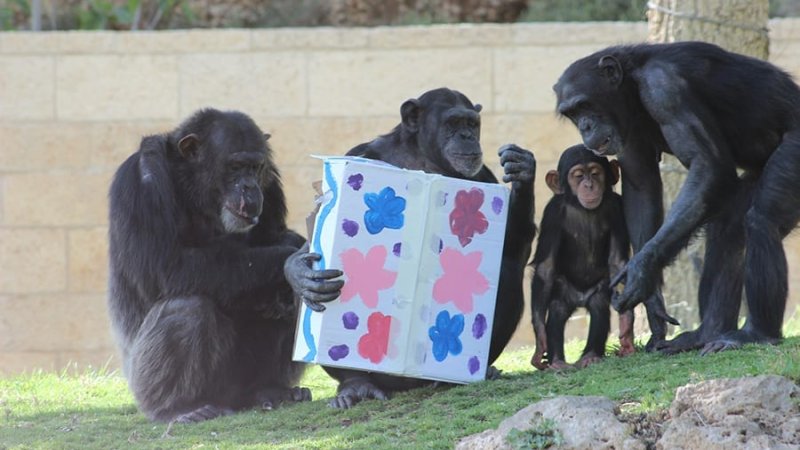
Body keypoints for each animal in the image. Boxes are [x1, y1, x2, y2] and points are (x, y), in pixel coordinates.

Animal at [108, 108, 312, 422]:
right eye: (235, 166)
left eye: (255, 167)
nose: (249, 186)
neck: (194, 191)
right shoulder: (141, 183)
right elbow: (166, 268)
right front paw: (292, 263)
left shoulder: (271, 183)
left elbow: (274, 234)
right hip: (143, 381)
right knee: (188, 310)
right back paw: (181, 408)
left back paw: (270, 389)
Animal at [284, 87, 536, 408]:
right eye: (453, 123)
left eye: (472, 123)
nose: (468, 136)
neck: (422, 156)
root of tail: (409, 383)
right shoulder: (358, 154)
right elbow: (311, 235)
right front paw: (302, 274)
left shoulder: (484, 176)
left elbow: (512, 243)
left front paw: (522, 168)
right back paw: (355, 385)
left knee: (509, 265)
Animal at [528, 144, 636, 370]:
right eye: (578, 176)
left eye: (595, 173)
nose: (588, 184)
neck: (581, 208)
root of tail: (580, 299)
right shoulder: (551, 214)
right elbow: (546, 267)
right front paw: (540, 341)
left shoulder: (617, 208)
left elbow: (617, 262)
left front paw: (626, 328)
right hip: (564, 291)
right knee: (557, 310)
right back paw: (558, 362)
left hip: (596, 290)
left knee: (598, 305)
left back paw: (590, 356)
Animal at [556, 40, 800, 354]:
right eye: (572, 114)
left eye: (585, 105)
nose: (584, 126)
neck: (633, 83)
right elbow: (641, 184)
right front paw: (652, 299)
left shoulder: (664, 89)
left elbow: (706, 165)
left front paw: (641, 271)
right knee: (729, 230)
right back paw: (708, 332)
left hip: (795, 150)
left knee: (762, 220)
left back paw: (756, 333)